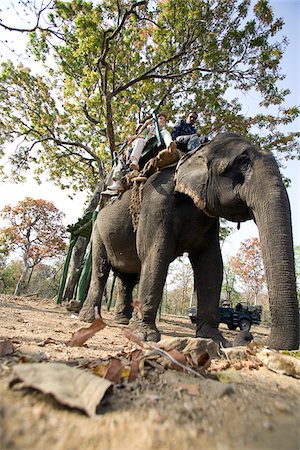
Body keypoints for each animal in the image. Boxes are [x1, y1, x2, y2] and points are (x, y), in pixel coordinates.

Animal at [79, 132, 300, 350]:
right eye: (242, 163)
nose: (249, 337)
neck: (195, 153)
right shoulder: (156, 200)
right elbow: (155, 253)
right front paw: (145, 336)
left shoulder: (208, 218)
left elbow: (211, 265)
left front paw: (215, 340)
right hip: (97, 231)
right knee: (101, 269)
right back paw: (89, 318)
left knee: (127, 278)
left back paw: (122, 321)